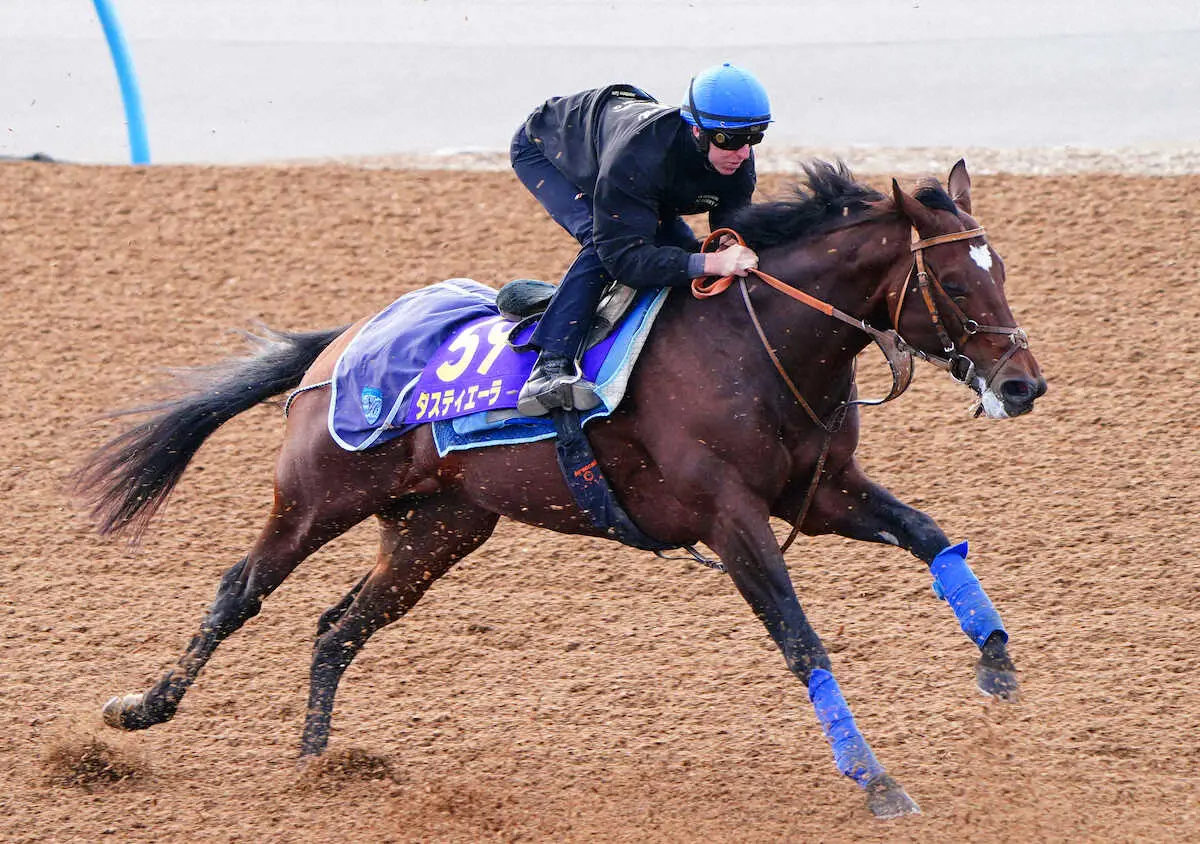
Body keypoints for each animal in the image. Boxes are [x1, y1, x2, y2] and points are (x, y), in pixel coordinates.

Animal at [77, 159, 1045, 819]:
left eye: (1003, 270)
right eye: (953, 280)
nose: (1024, 384)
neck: (756, 343)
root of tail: (342, 341)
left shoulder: (825, 494)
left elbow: (931, 533)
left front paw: (996, 660)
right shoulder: (732, 519)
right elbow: (801, 640)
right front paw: (876, 780)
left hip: (440, 528)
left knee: (337, 626)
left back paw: (317, 766)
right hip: (318, 498)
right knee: (239, 590)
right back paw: (142, 711)